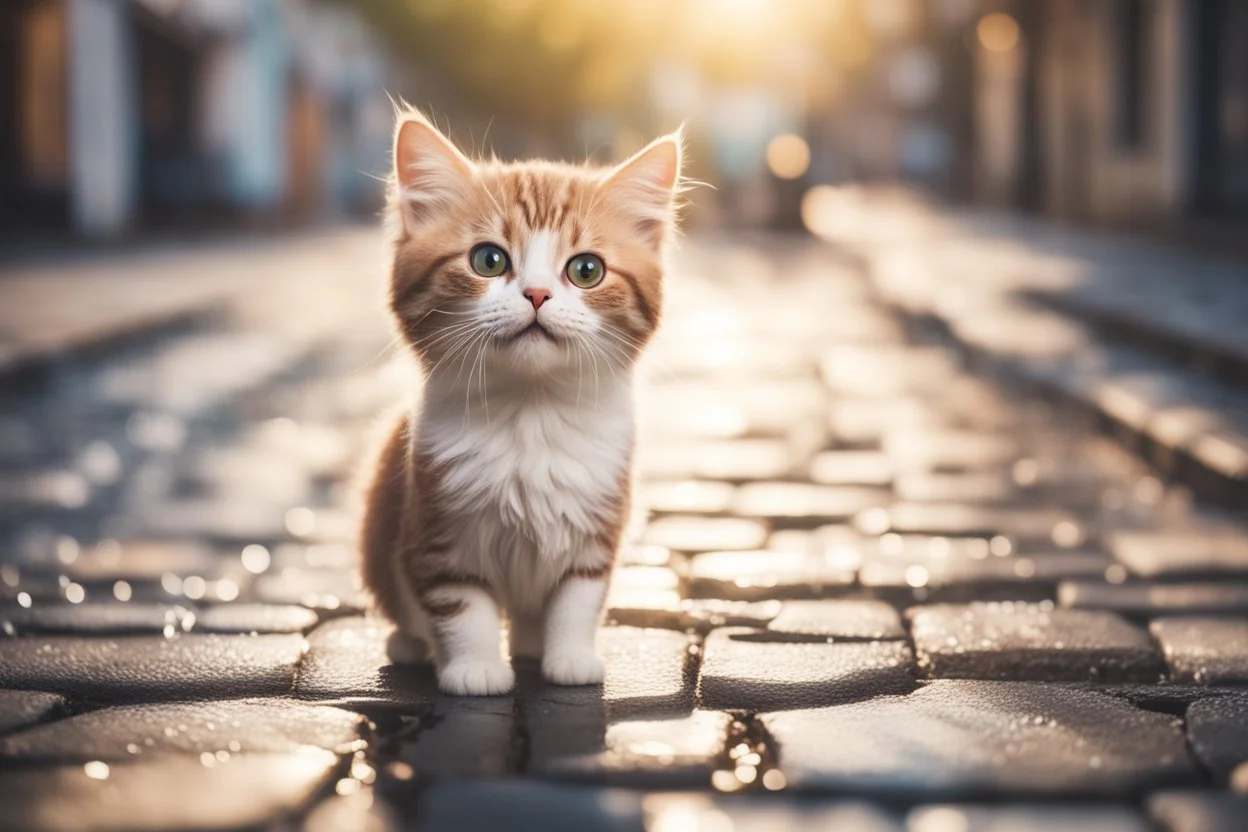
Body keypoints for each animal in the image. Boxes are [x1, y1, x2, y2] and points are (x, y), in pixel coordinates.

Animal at [359, 109, 683, 698]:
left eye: (586, 270)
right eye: (489, 260)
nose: (536, 294)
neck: (531, 414)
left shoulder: (596, 530)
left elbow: (576, 602)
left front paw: (570, 659)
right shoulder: (439, 531)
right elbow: (462, 607)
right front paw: (475, 669)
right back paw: (410, 646)